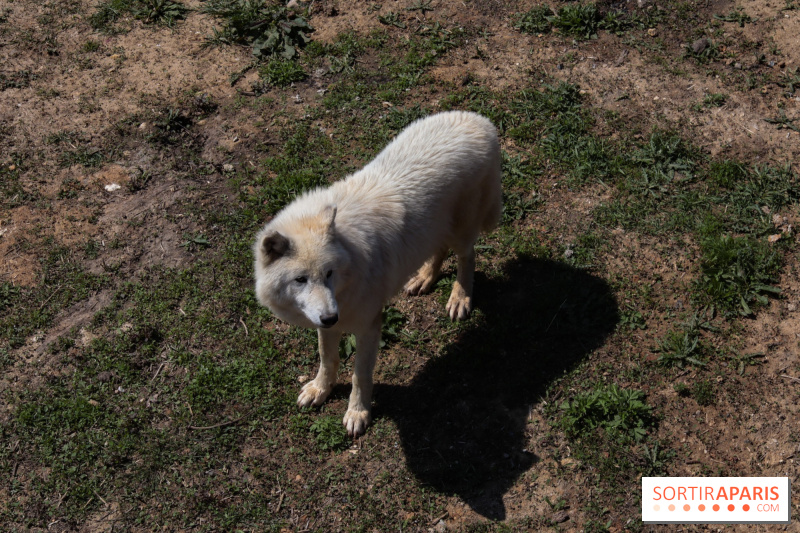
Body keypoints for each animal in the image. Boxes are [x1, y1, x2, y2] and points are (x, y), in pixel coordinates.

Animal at [253, 110, 500, 434]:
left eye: (329, 273)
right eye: (300, 280)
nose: (331, 317)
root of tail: (481, 121)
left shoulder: (369, 326)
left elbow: (360, 375)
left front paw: (358, 413)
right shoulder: (325, 321)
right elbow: (327, 358)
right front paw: (320, 389)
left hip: (462, 232)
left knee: (467, 256)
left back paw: (460, 298)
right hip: (434, 230)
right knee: (439, 250)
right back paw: (424, 278)